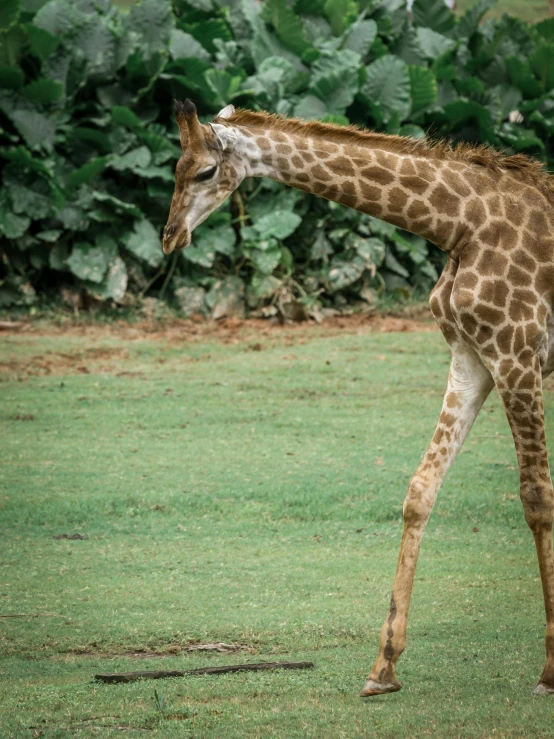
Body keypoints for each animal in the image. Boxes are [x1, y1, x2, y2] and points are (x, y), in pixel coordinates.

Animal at [162, 99, 552, 700]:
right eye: (175, 168)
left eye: (205, 171)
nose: (169, 236)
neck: (460, 224)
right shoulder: (472, 358)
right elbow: (420, 490)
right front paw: (383, 668)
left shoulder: (517, 352)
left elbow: (537, 498)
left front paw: (550, 672)